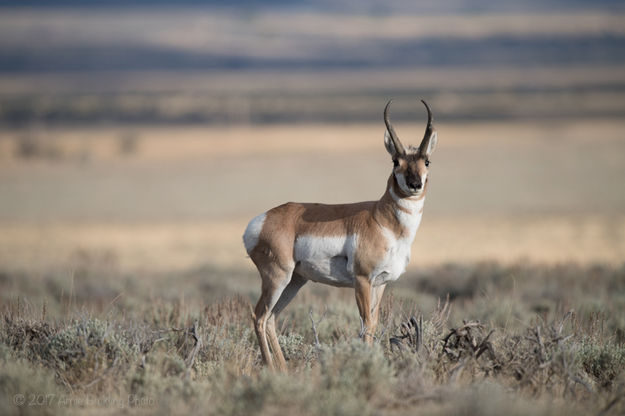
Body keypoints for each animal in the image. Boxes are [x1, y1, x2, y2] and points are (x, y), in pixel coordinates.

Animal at [241, 101, 436, 370]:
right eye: (395, 161)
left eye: (426, 161)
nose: (415, 184)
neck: (381, 219)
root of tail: (263, 220)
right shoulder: (362, 281)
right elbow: (366, 325)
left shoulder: (381, 283)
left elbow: (374, 323)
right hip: (277, 278)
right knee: (259, 316)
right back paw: (271, 369)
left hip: (295, 281)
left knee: (271, 318)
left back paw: (284, 369)